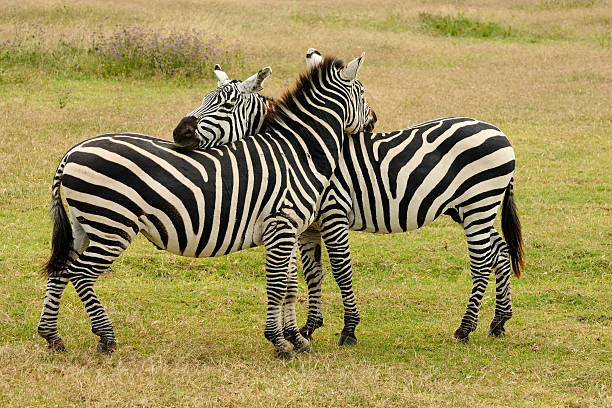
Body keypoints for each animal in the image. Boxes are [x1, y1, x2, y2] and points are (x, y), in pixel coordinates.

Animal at [38, 52, 376, 358]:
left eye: (225, 104)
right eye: (361, 93)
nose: (373, 121)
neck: (297, 151)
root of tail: (72, 152)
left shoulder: (288, 229)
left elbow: (291, 286)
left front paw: (296, 338)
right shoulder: (281, 225)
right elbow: (278, 285)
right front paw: (280, 342)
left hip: (84, 226)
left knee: (61, 271)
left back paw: (52, 337)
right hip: (112, 226)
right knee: (81, 274)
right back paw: (106, 338)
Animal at [175, 48, 524, 348]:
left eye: (225, 106)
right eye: (205, 99)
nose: (180, 133)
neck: (302, 151)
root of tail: (498, 131)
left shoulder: (333, 213)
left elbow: (341, 269)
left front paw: (349, 330)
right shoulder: (308, 225)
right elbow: (312, 272)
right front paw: (309, 327)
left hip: (478, 203)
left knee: (482, 261)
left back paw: (465, 328)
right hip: (468, 208)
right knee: (500, 250)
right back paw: (498, 322)